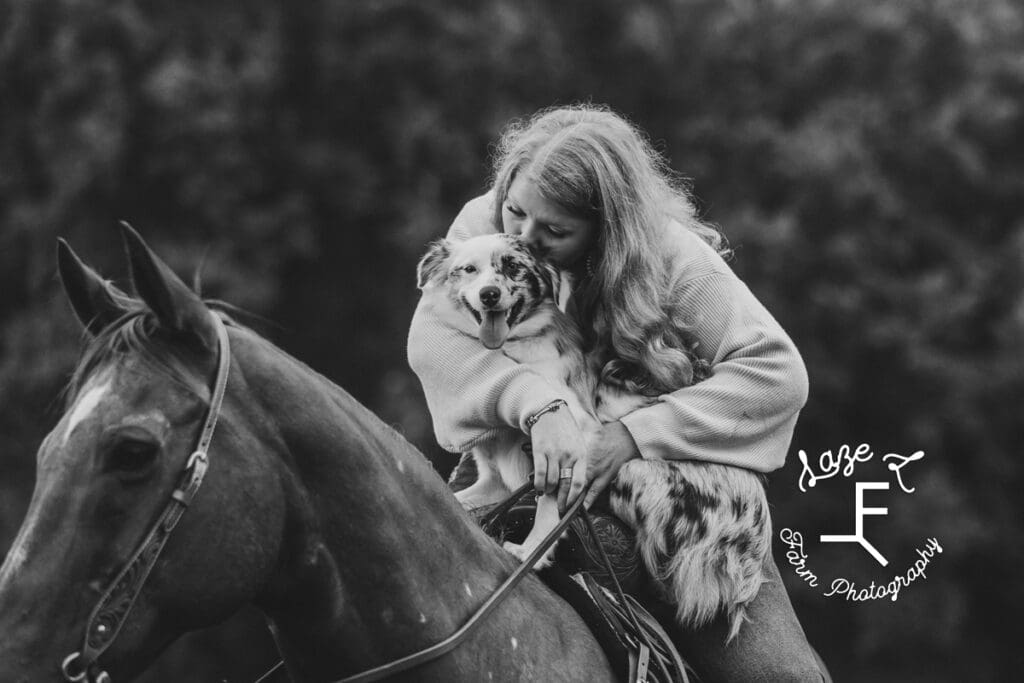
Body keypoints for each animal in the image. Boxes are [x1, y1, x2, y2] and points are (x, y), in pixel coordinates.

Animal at [415, 232, 770, 638]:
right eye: (468, 269)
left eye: (512, 266)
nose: (489, 294)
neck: (514, 351)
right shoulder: (497, 480)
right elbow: (464, 501)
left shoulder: (570, 448)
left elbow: (548, 507)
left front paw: (531, 552)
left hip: (635, 473)